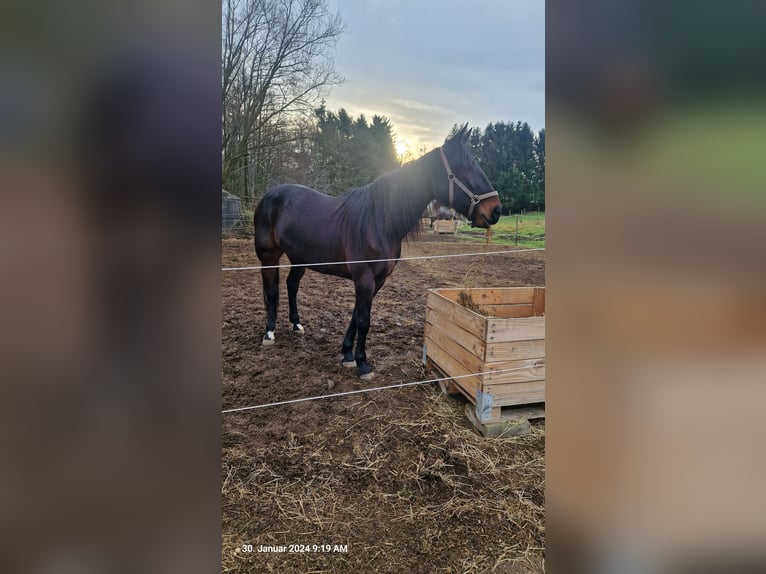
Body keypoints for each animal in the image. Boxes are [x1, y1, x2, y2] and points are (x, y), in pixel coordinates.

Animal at [253, 124, 502, 380]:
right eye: (467, 166)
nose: (495, 210)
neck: (378, 221)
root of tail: (270, 195)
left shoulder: (378, 280)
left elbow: (356, 315)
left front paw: (347, 354)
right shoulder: (364, 278)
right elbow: (364, 320)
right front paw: (362, 364)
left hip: (300, 258)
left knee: (291, 285)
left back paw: (296, 325)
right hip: (269, 256)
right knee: (271, 291)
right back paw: (269, 333)